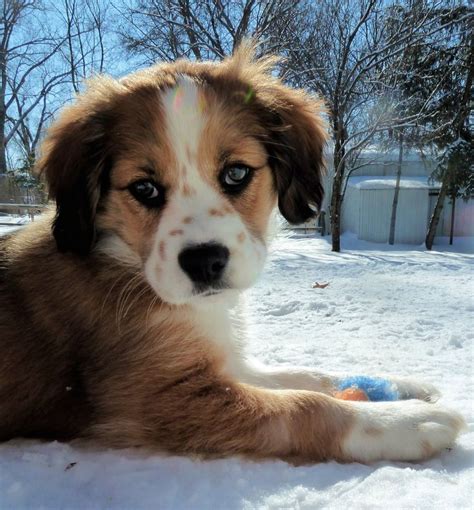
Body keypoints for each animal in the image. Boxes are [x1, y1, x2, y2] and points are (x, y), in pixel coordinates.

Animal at [0, 45, 464, 464]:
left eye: (236, 172)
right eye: (144, 188)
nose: (204, 262)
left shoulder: (220, 360)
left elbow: (305, 375)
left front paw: (402, 387)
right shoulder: (150, 397)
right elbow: (304, 405)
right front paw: (406, 422)